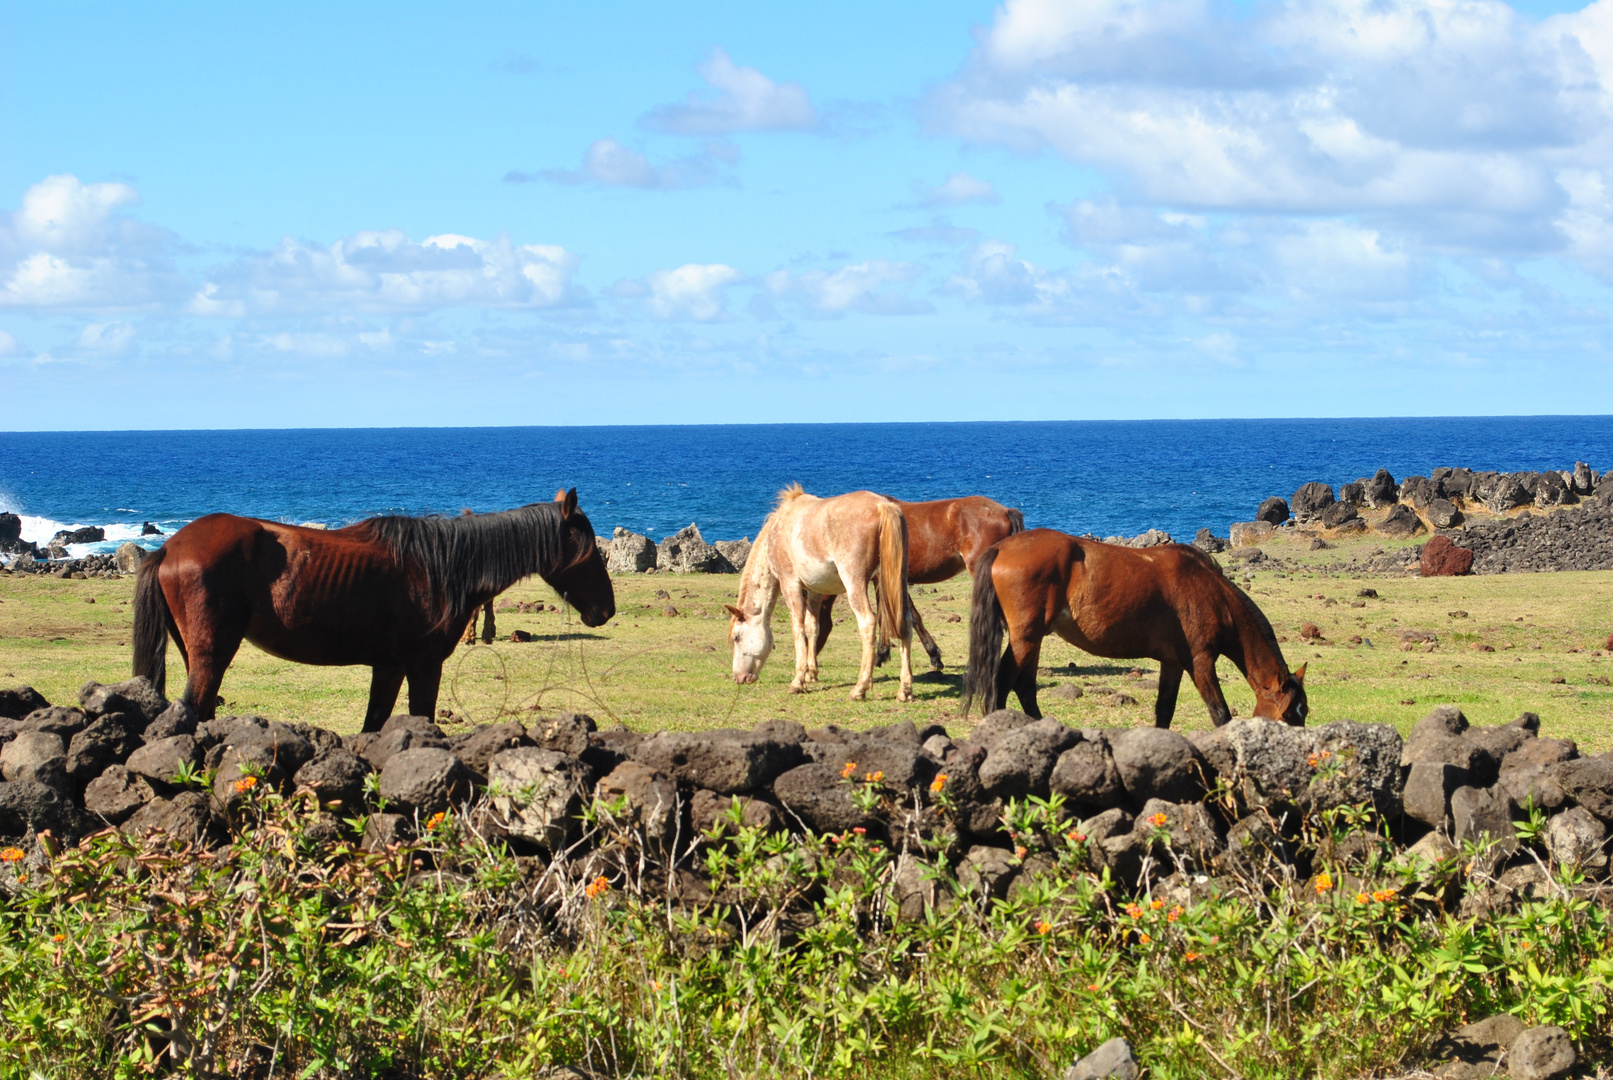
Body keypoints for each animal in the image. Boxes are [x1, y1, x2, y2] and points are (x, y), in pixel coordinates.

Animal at [129, 493, 609, 731]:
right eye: (589, 552)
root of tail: (171, 546)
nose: (606, 608)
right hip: (212, 654)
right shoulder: (423, 665)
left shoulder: (390, 667)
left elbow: (373, 728)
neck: (441, 566)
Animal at [725, 490, 916, 706]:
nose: (739, 678)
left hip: (855, 582)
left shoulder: (789, 583)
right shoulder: (814, 589)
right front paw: (811, 674)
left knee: (868, 622)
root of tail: (883, 506)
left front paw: (798, 681)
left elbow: (798, 628)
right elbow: (812, 627)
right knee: (906, 623)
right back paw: (905, 690)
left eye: (737, 638)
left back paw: (859, 689)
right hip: (897, 581)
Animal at [961, 531, 1303, 731]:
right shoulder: (1201, 663)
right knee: (1002, 683)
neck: (1211, 591)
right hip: (1026, 638)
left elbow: (1164, 711)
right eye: (1289, 714)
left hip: (1033, 639)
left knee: (1024, 688)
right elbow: (1220, 714)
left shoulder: (1174, 663)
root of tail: (1001, 547)